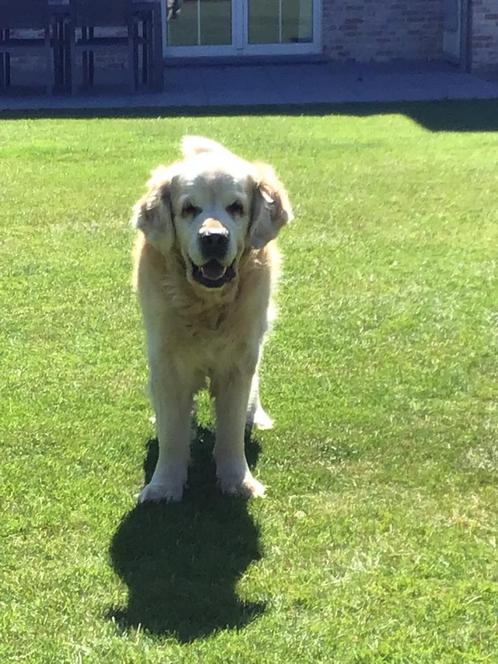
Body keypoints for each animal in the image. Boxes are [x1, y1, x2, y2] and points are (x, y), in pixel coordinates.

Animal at [132, 140, 294, 504]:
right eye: (188, 209)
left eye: (236, 207)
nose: (214, 238)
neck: (207, 305)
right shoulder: (167, 364)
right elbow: (173, 434)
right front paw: (164, 486)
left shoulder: (239, 363)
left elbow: (230, 432)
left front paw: (238, 481)